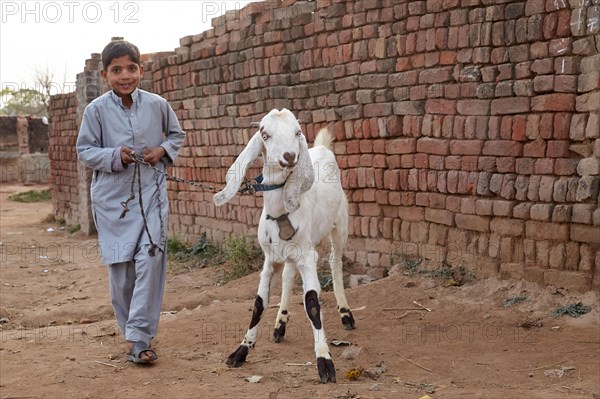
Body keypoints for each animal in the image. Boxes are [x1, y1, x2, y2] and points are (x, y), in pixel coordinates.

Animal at [214, 108, 354, 382]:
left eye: (298, 132)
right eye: (264, 134)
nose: (290, 156)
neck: (281, 213)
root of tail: (322, 148)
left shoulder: (308, 256)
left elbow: (312, 303)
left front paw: (324, 361)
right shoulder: (269, 260)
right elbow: (259, 302)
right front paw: (241, 351)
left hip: (339, 225)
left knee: (335, 263)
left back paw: (345, 313)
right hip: (288, 254)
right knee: (289, 275)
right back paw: (281, 323)